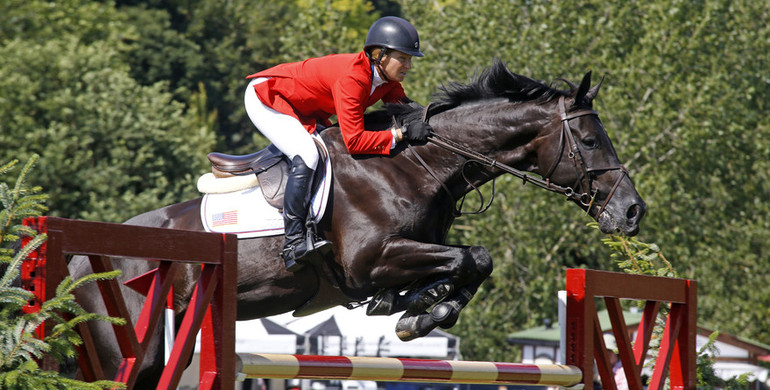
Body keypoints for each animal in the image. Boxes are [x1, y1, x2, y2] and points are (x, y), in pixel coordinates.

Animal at [67, 61, 640, 386]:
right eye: (591, 141)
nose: (633, 212)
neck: (412, 164)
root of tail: (77, 261)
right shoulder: (370, 262)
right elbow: (471, 257)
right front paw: (423, 311)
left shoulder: (404, 255)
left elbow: (471, 261)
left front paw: (423, 307)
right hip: (132, 349)